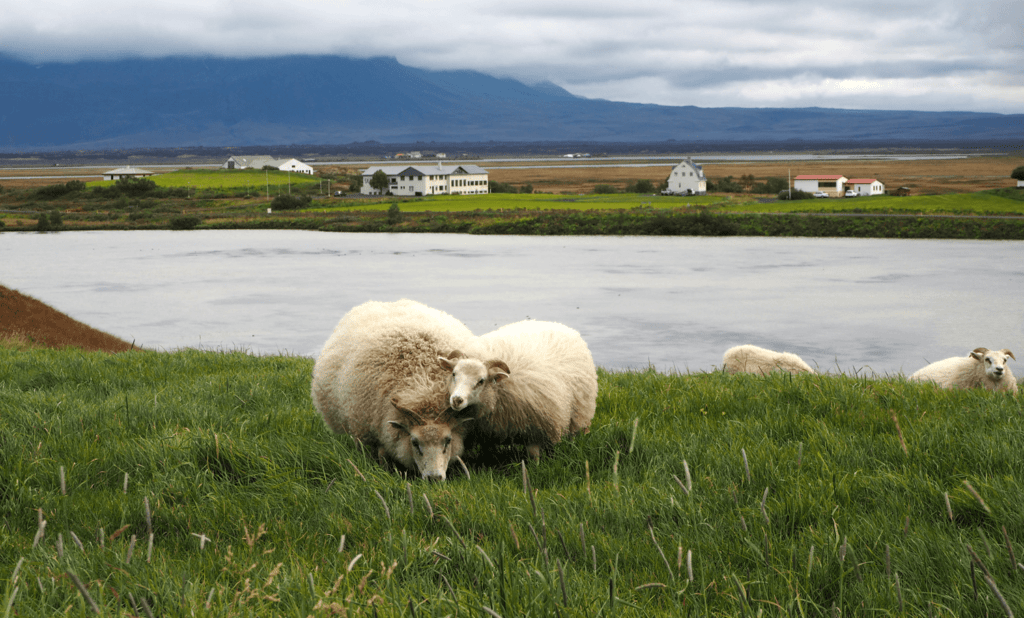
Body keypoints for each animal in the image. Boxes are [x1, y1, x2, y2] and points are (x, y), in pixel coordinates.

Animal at [309, 300, 481, 480]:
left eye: (448, 440)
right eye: (414, 442)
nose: (434, 478)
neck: (423, 383)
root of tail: (383, 302)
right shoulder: (367, 434)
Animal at [440, 319, 598, 458]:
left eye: (481, 381)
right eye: (454, 374)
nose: (457, 400)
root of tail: (561, 326)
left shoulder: (536, 429)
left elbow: (534, 455)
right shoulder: (485, 430)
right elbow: (486, 452)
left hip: (581, 412)